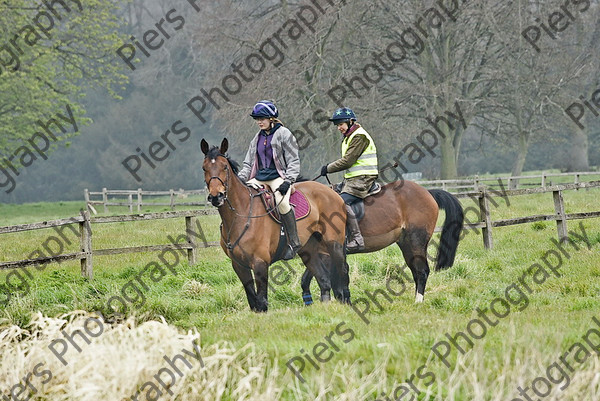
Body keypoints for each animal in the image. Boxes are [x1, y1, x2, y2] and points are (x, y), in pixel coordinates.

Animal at [202, 138, 352, 312]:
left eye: (224, 167)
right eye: (204, 168)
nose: (216, 196)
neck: (241, 214)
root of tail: (332, 192)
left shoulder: (260, 263)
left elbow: (262, 302)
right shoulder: (239, 266)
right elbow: (253, 302)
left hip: (334, 244)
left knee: (342, 272)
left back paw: (347, 302)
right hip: (309, 249)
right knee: (324, 280)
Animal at [300, 180, 464, 302]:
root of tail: (427, 192)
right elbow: (308, 279)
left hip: (416, 242)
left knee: (422, 271)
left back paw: (418, 301)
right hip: (407, 245)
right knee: (416, 271)